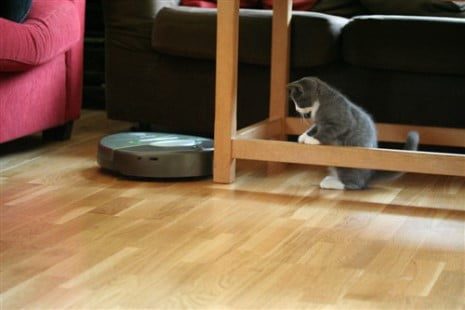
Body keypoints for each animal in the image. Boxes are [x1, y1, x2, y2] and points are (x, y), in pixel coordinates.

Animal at [288, 76, 418, 190]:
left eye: (296, 101)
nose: (296, 109)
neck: (320, 101)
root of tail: (369, 176)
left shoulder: (341, 121)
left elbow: (328, 131)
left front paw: (313, 139)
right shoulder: (320, 122)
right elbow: (314, 128)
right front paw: (304, 136)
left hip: (347, 163)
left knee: (355, 184)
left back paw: (332, 183)